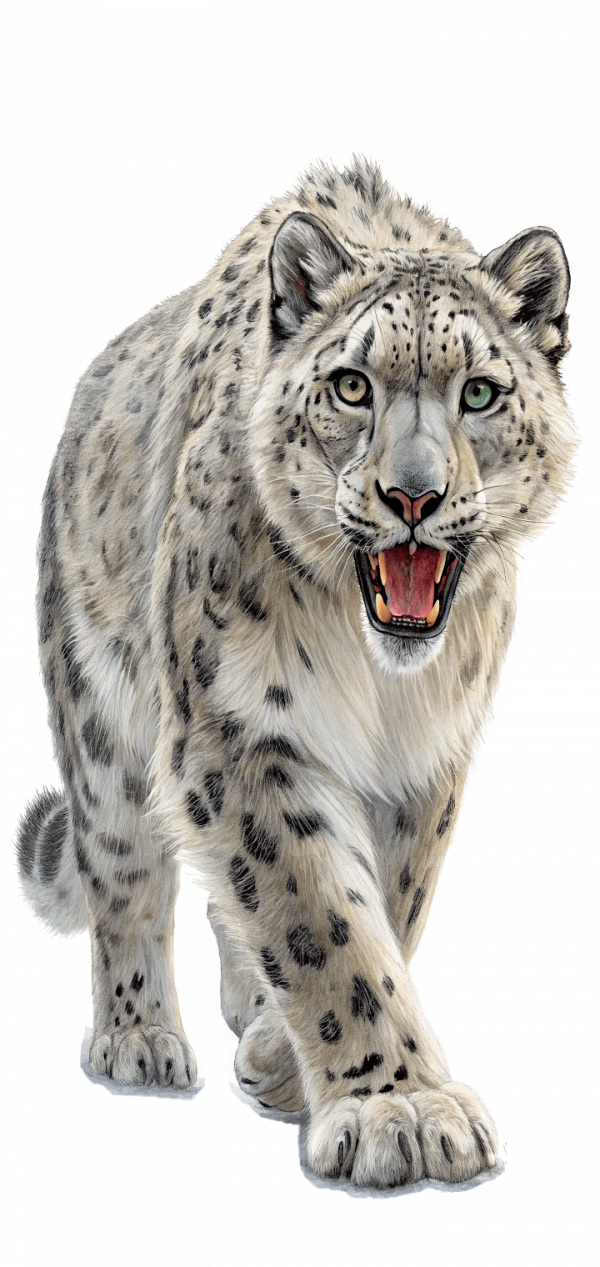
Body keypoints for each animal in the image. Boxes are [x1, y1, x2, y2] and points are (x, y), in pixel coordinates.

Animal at [8, 149, 585, 1193]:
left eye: (479, 392)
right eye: (352, 386)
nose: (412, 495)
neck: (384, 681)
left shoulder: (429, 761)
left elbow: (388, 903)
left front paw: (289, 1061)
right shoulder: (240, 728)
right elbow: (320, 910)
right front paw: (402, 1106)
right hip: (102, 720)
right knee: (125, 874)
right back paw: (140, 1038)